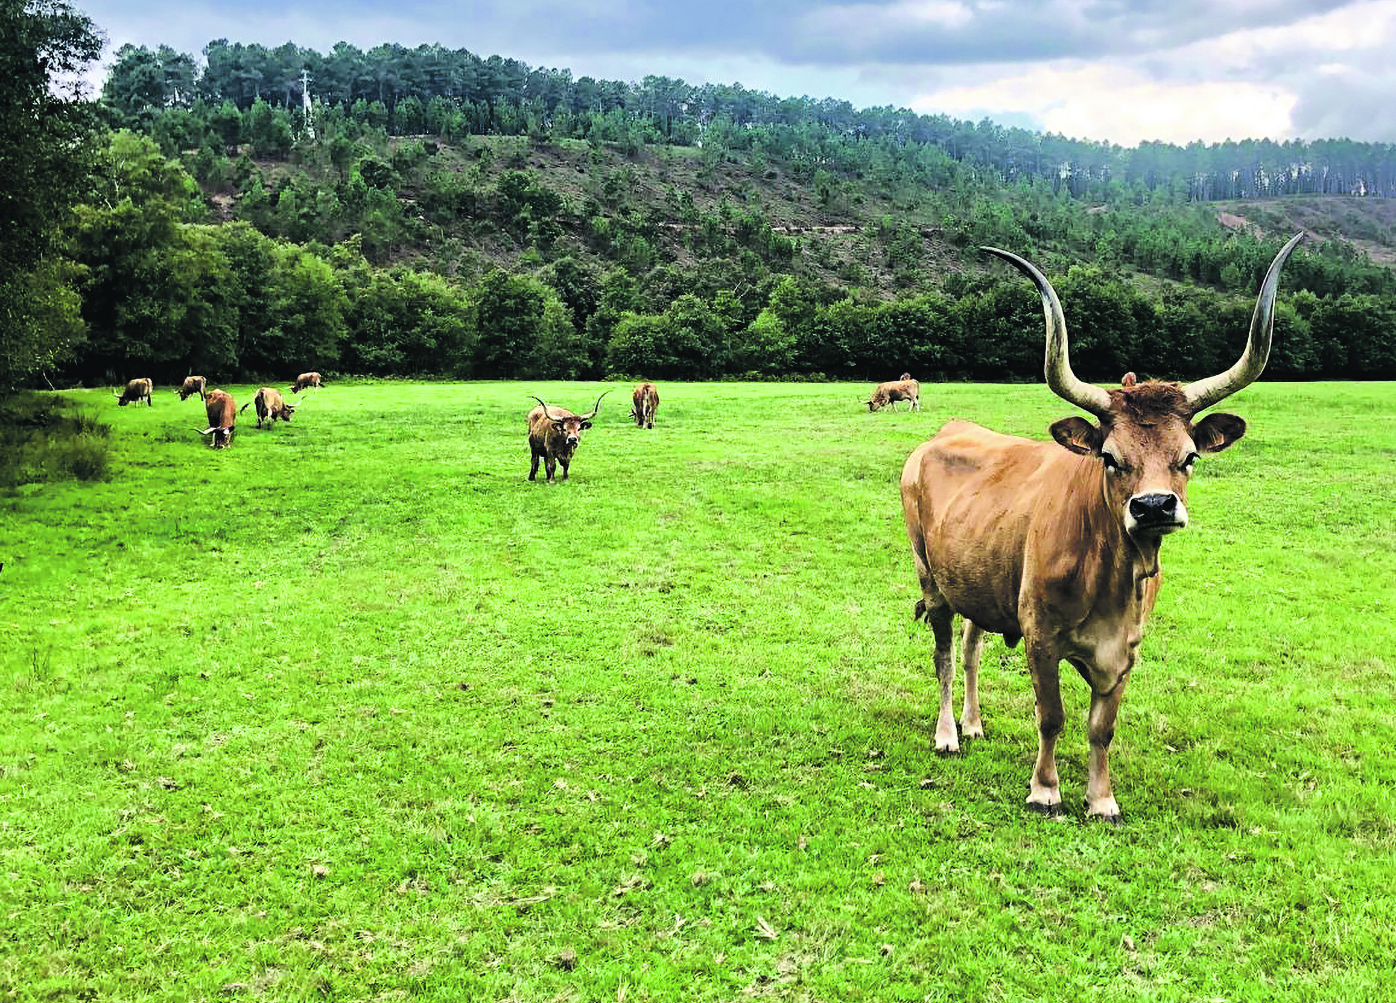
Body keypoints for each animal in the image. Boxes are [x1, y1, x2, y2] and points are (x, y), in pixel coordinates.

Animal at [899, 233, 1303, 823]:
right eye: (1110, 458)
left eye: (1189, 457)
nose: (1154, 506)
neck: (1110, 579)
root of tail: (941, 435)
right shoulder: (1040, 637)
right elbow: (1052, 716)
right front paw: (1045, 790)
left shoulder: (1126, 648)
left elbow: (1101, 728)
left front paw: (1102, 799)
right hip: (931, 579)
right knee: (947, 657)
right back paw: (948, 733)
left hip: (979, 578)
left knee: (973, 648)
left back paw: (973, 725)